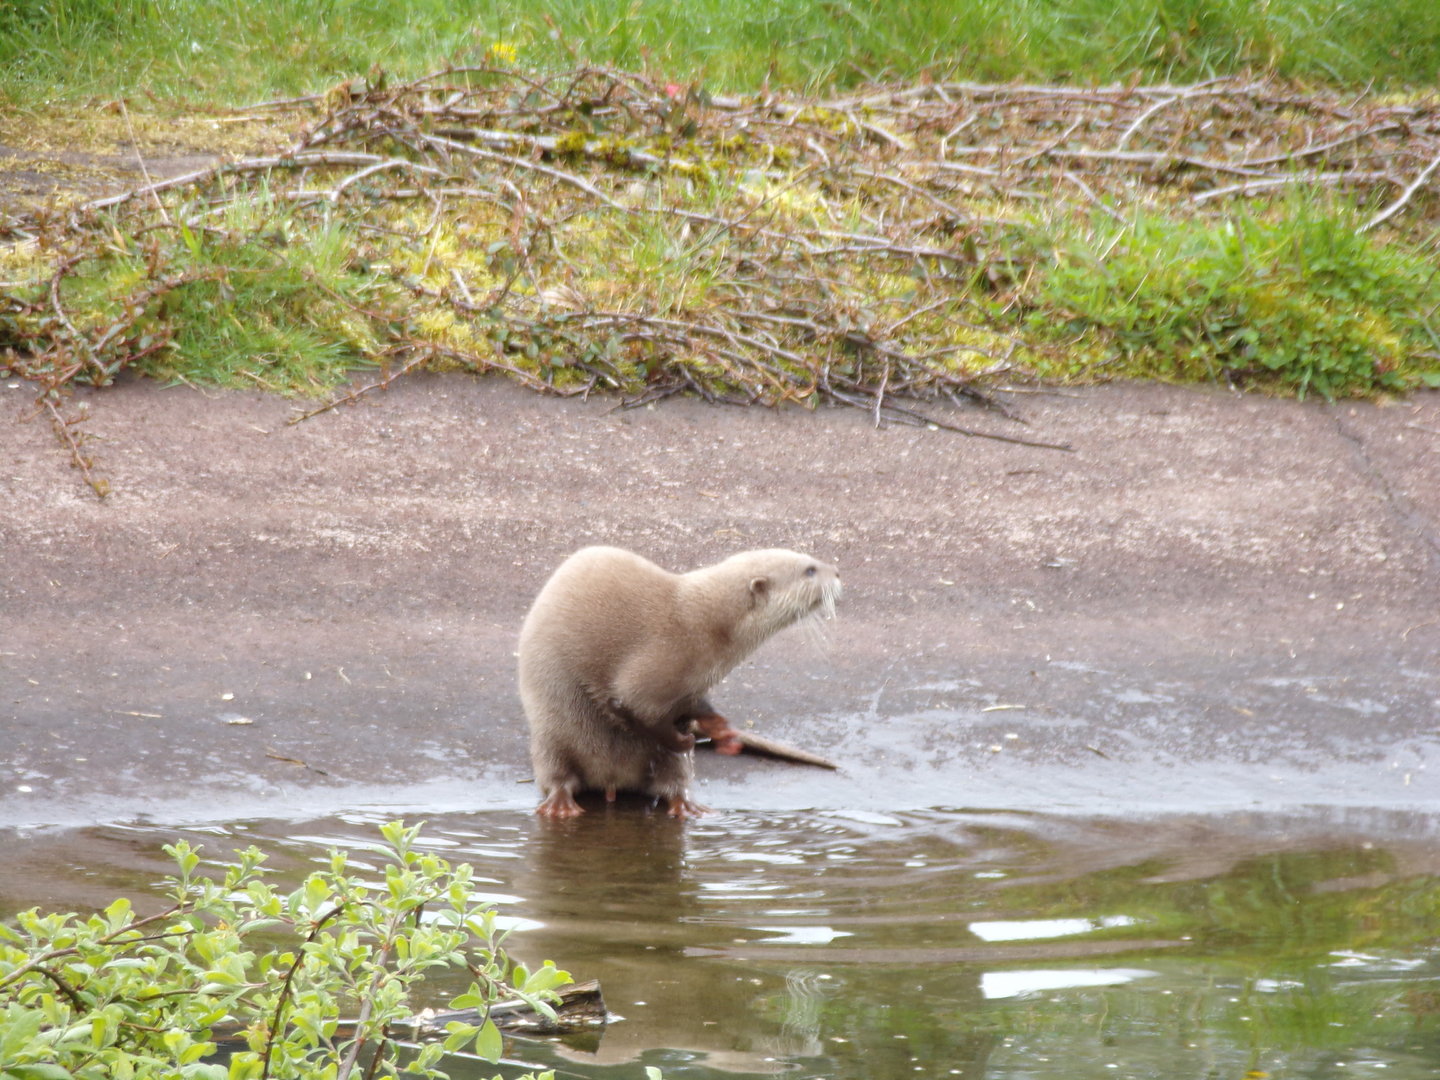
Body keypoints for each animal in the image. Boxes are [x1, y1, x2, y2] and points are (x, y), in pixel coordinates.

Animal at [518, 546, 841, 818]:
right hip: (551, 738)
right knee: (557, 777)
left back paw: (688, 808)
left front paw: (719, 728)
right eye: (810, 570)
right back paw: (560, 806)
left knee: (672, 782)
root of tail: (611, 780)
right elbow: (636, 710)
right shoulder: (656, 665)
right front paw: (684, 739)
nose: (837, 572)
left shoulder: (694, 684)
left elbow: (692, 706)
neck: (708, 627)